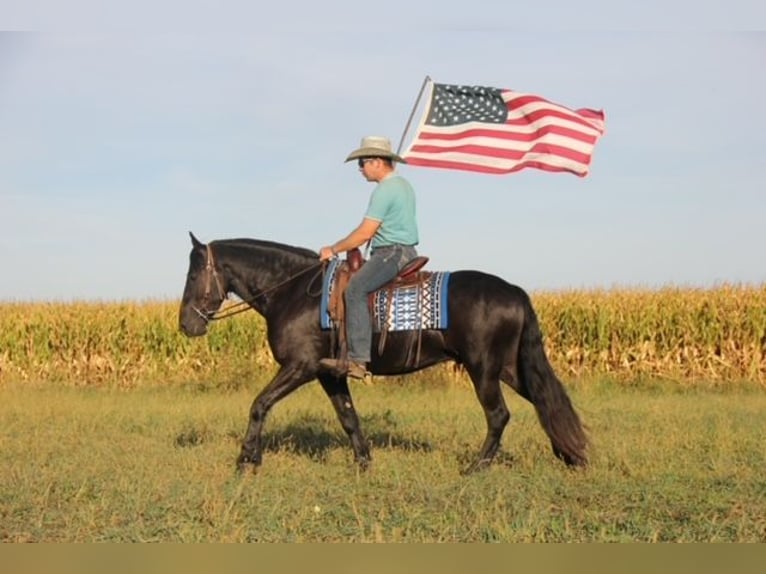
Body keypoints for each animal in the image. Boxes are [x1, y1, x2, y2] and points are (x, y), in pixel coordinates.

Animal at [178, 232, 588, 474]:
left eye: (194, 275)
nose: (185, 324)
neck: (292, 292)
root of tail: (515, 291)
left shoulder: (301, 366)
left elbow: (259, 404)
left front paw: (246, 460)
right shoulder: (329, 373)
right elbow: (348, 417)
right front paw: (363, 462)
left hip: (483, 369)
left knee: (499, 415)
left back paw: (477, 467)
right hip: (510, 368)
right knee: (545, 400)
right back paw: (571, 456)